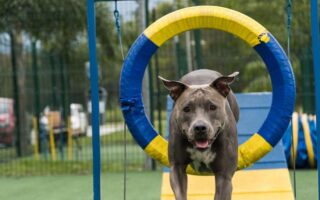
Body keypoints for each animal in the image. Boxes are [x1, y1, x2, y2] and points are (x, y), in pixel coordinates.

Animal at [159, 69, 239, 200]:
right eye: (186, 108)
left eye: (212, 107)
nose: (200, 127)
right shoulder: (177, 167)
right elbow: (180, 192)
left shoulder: (224, 175)